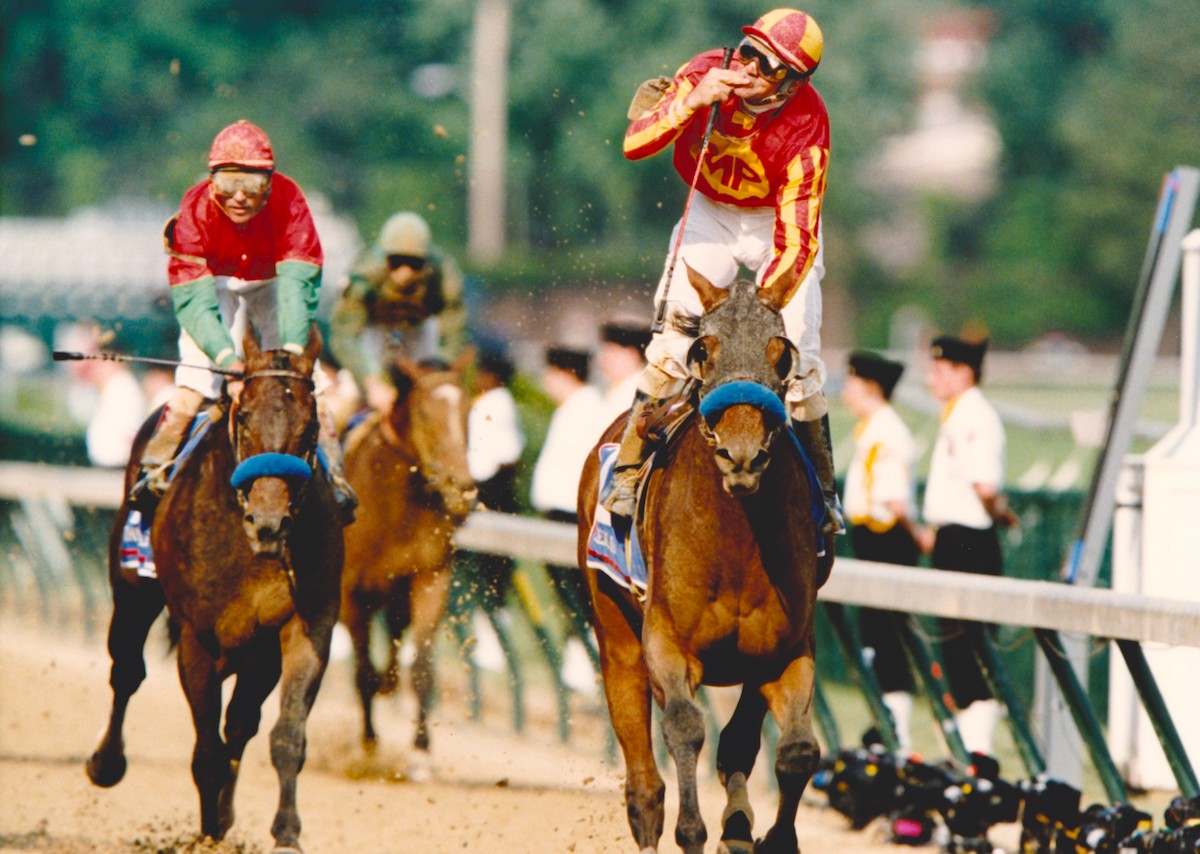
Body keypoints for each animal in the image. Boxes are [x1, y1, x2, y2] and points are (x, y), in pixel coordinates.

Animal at [87, 326, 343, 854]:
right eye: (243, 416)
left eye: (312, 425)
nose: (269, 522)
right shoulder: (197, 638)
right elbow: (206, 751)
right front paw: (207, 833)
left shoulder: (306, 626)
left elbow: (287, 735)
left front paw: (285, 832)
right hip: (132, 588)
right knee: (127, 670)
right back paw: (106, 763)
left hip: (258, 653)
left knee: (241, 722)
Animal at [338, 350, 477, 777]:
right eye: (425, 414)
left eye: (468, 410)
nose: (461, 487)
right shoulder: (350, 592)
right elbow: (361, 672)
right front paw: (368, 745)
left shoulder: (429, 578)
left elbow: (423, 671)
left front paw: (420, 753)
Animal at [578, 268, 825, 854]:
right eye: (703, 351)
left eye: (780, 352)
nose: (742, 454)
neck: (735, 540)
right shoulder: (667, 643)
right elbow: (686, 728)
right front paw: (694, 830)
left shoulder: (786, 651)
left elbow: (796, 751)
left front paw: (767, 836)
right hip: (617, 641)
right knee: (644, 786)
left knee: (738, 745)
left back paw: (737, 826)